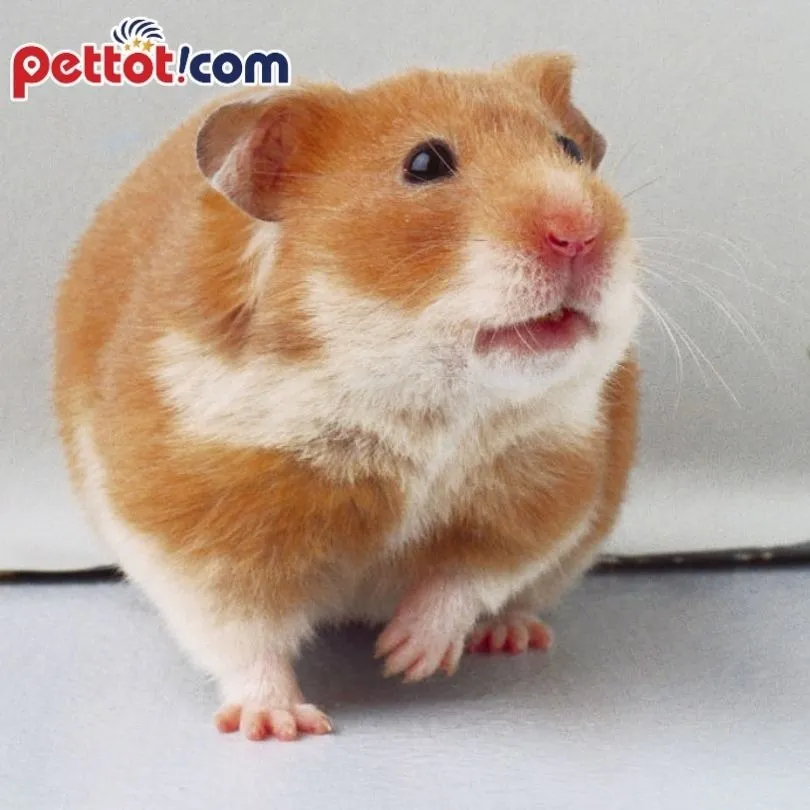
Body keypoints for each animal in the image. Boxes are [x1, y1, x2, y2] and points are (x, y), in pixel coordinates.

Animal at [53, 53, 640, 742]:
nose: (581, 233)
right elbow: (241, 635)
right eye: (424, 163)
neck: (418, 402)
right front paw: (280, 725)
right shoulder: (197, 526)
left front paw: (405, 657)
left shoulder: (546, 488)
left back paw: (511, 636)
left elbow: (468, 574)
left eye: (568, 148)